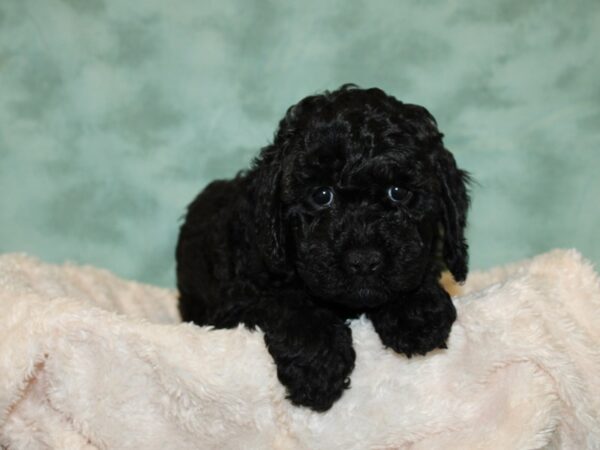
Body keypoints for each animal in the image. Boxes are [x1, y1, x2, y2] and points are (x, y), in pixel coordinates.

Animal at [176, 84, 472, 412]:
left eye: (398, 192)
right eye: (321, 195)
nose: (364, 260)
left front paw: (417, 311)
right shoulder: (236, 300)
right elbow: (290, 302)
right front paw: (318, 368)